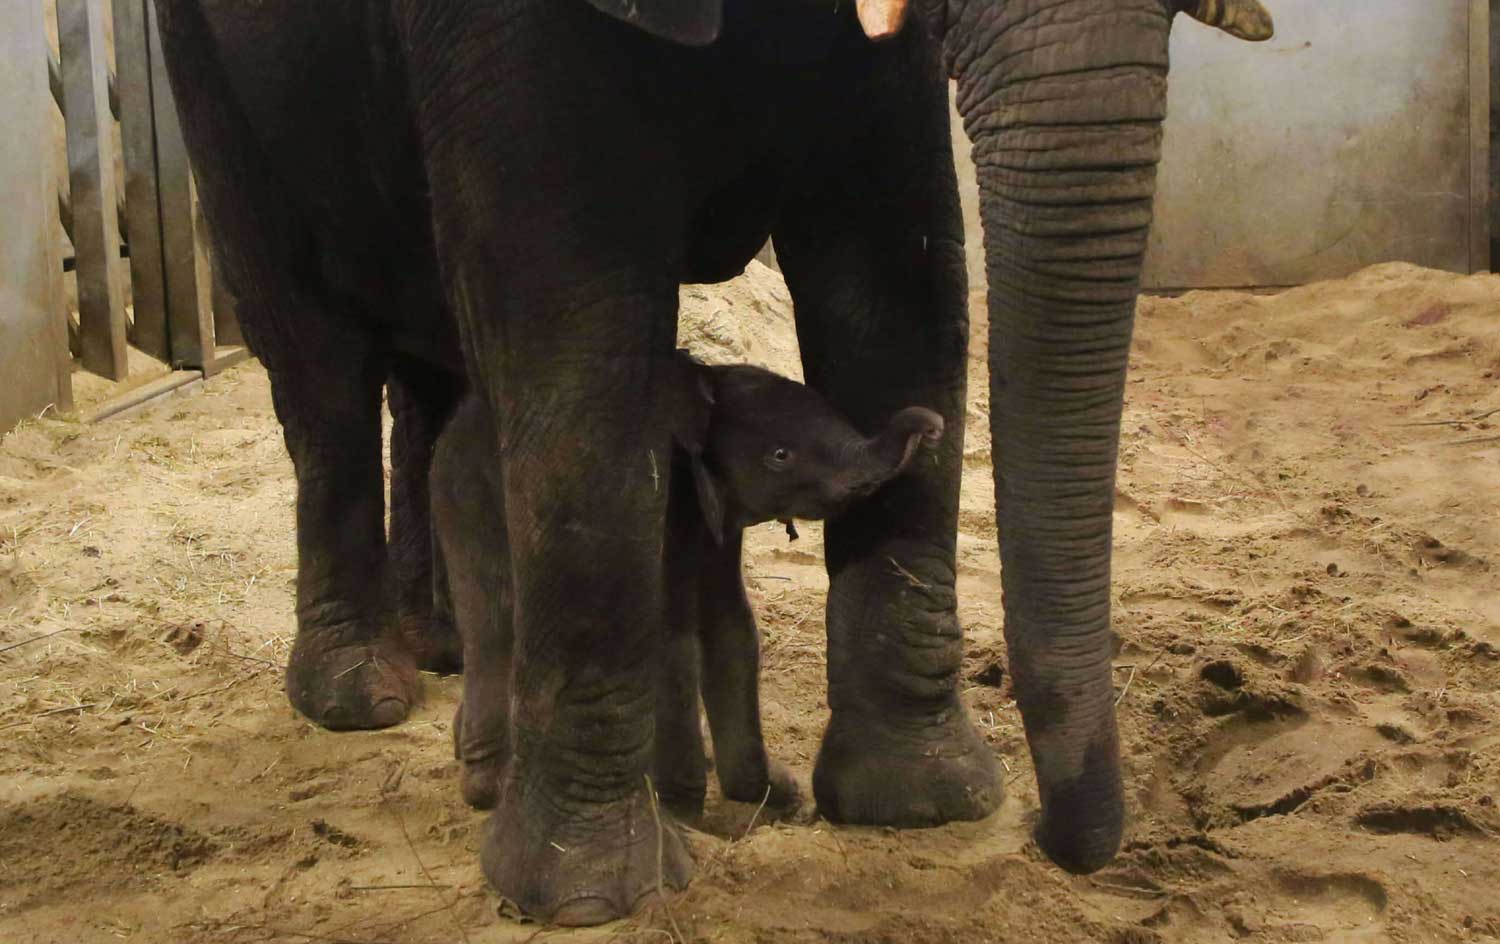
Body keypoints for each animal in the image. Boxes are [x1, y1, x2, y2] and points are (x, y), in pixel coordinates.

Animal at [435, 349, 942, 822]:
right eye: (780, 456)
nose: (931, 424)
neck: (704, 386)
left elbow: (729, 624)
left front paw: (771, 794)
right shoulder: (660, 498)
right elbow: (668, 633)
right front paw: (681, 812)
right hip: (466, 491)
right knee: (494, 623)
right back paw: (489, 788)